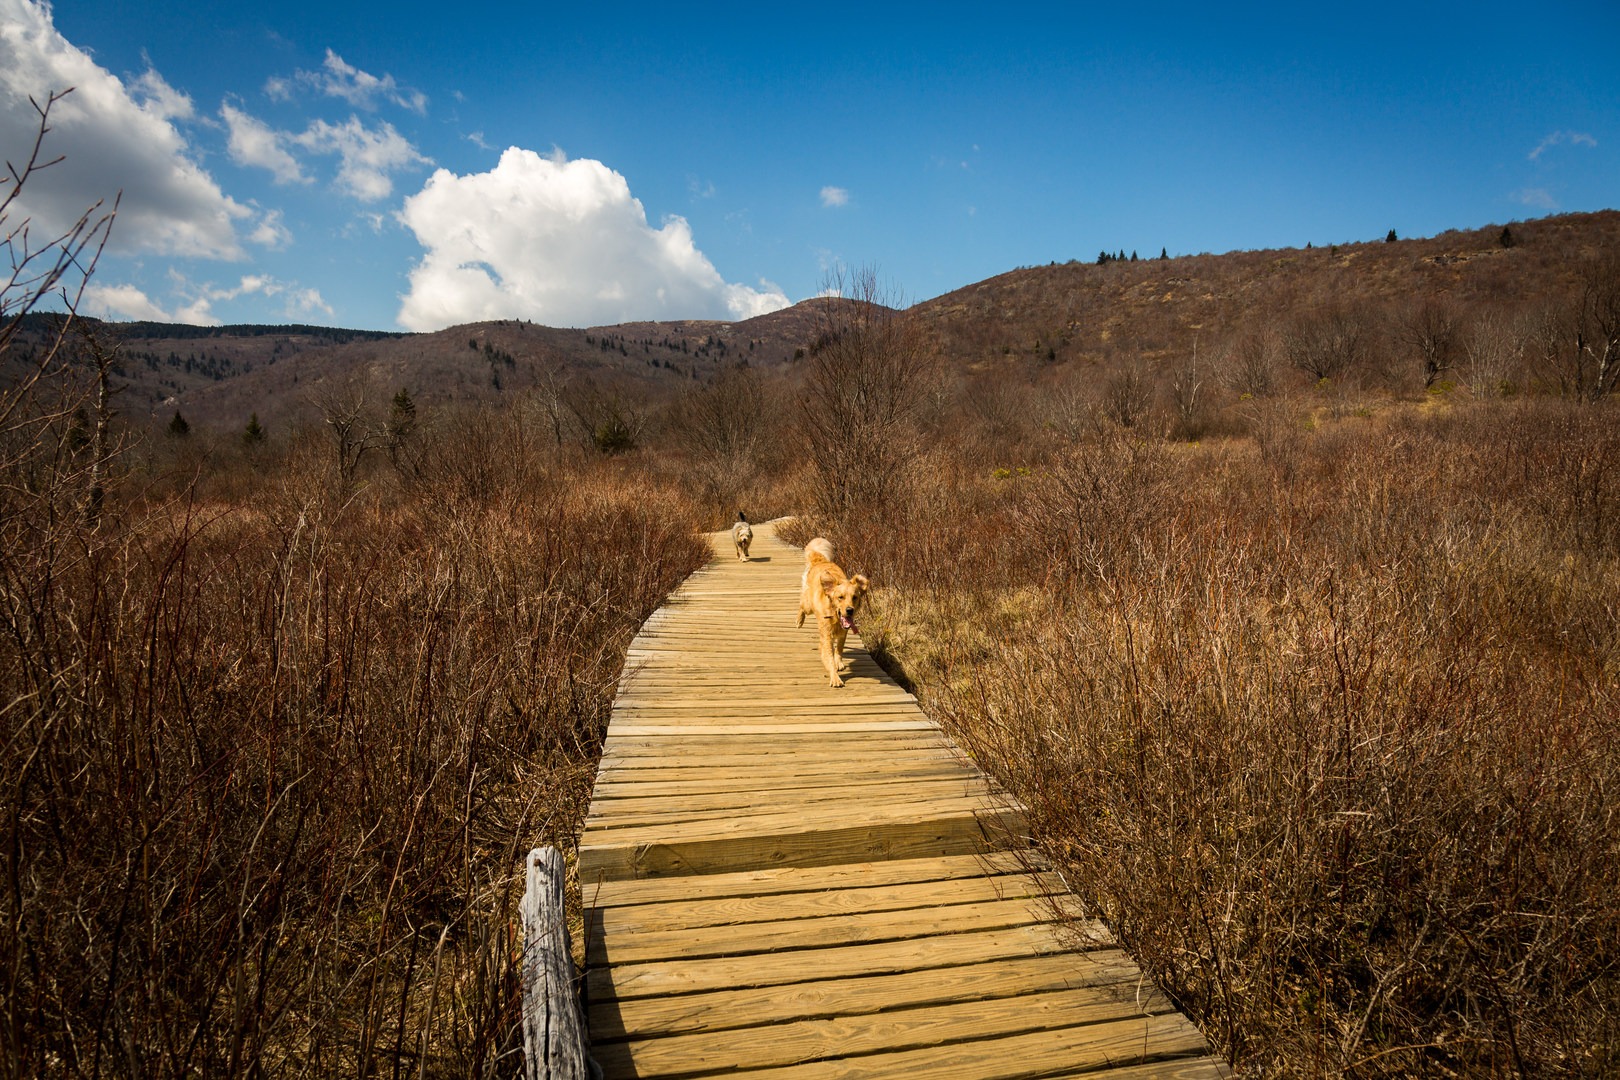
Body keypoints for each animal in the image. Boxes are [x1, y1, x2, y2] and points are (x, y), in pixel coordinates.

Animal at [793, 537, 868, 689]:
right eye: (840, 597)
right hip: (809, 605)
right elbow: (829, 655)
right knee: (802, 605)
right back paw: (799, 621)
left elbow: (838, 650)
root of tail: (820, 561)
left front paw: (838, 662)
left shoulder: (843, 633)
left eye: (855, 597)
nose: (850, 610)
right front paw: (835, 677)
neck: (835, 617)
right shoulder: (827, 635)